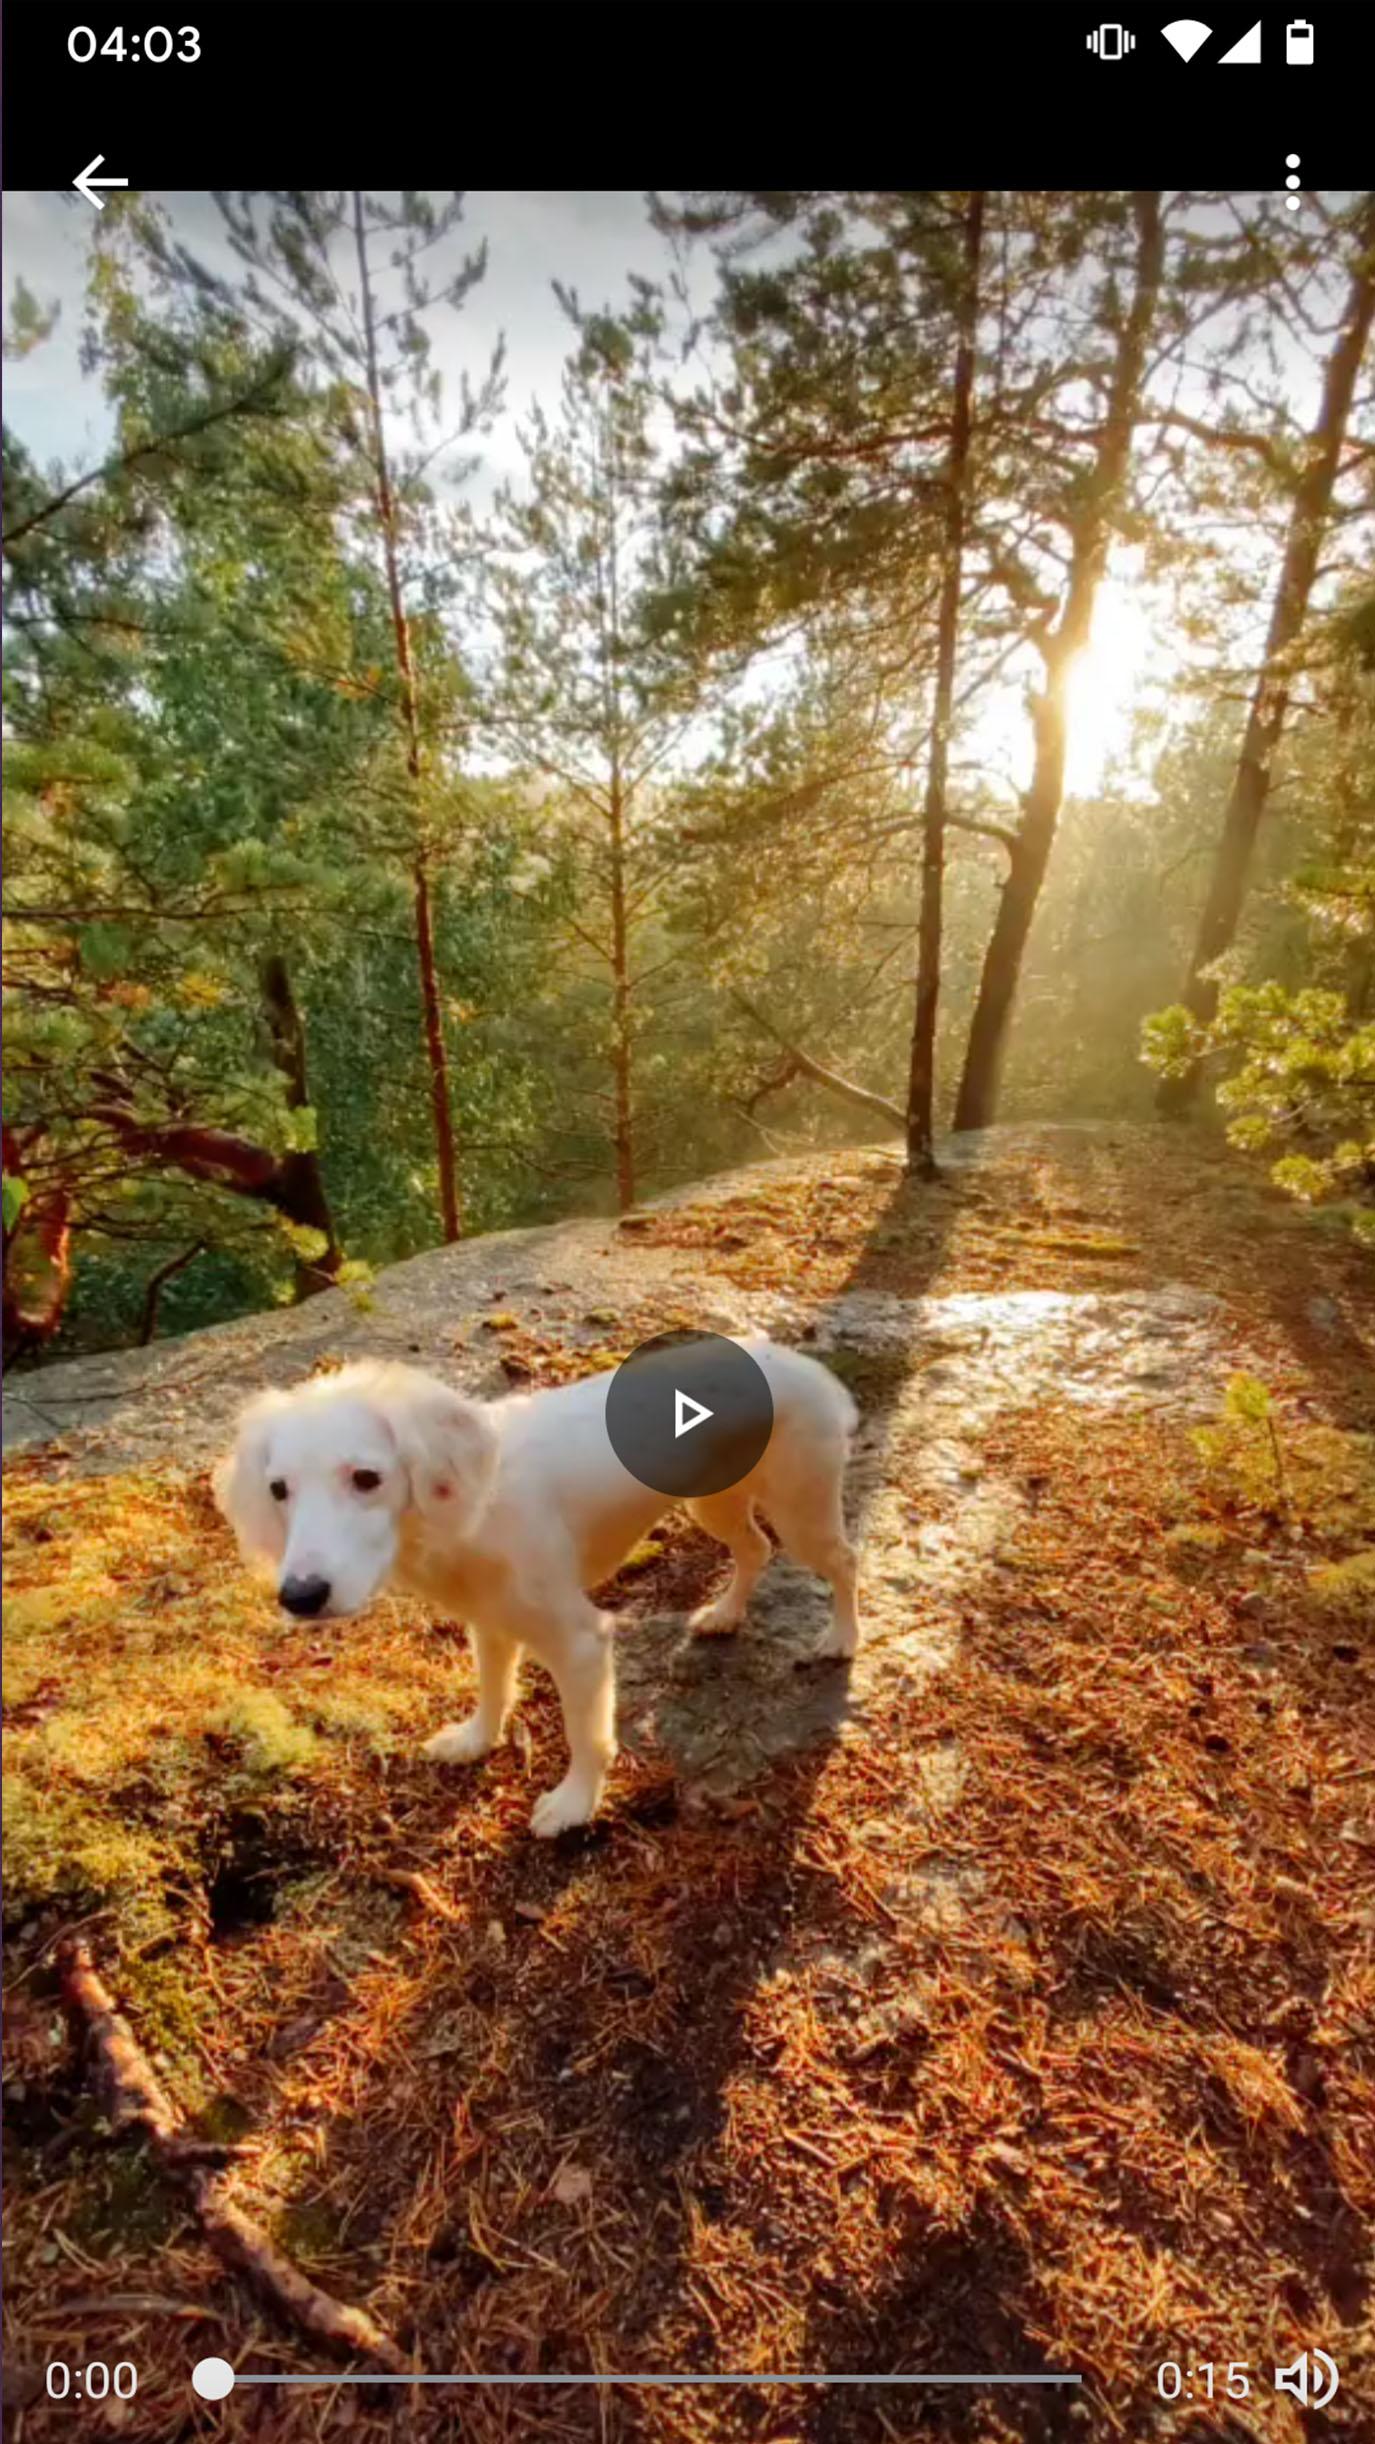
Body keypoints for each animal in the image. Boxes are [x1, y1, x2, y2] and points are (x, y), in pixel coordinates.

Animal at [213, 1339, 859, 1837]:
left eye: (366, 1478)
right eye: (278, 1489)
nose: (300, 1597)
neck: (474, 1510)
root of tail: (803, 1363)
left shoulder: (581, 1641)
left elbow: (586, 1734)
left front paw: (575, 1804)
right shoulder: (490, 1621)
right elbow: (494, 1689)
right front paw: (476, 1740)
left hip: (800, 1510)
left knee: (843, 1561)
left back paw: (842, 1638)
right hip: (715, 1504)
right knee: (754, 1550)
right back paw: (726, 1613)